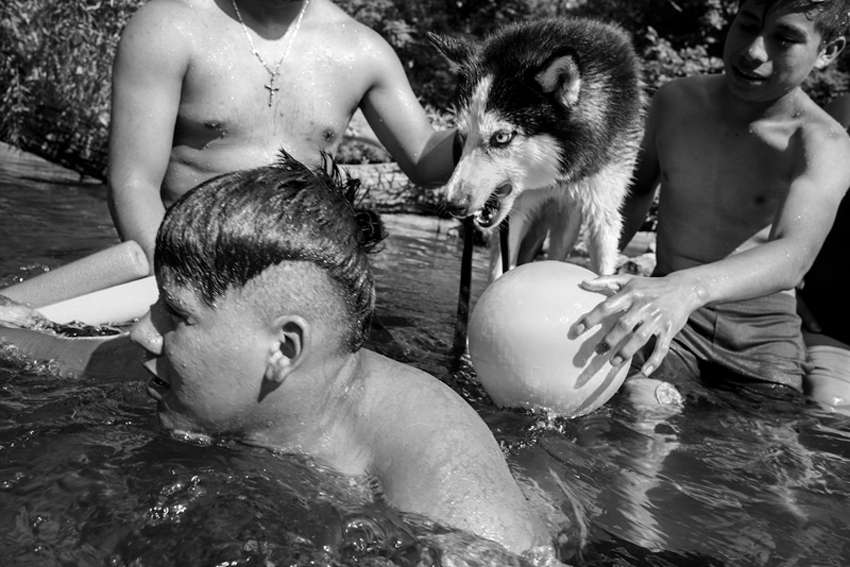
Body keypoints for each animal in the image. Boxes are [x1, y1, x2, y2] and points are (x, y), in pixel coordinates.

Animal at [430, 17, 645, 279]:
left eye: (501, 137)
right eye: (462, 136)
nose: (453, 204)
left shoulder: (603, 212)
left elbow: (604, 268)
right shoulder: (515, 215)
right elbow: (499, 274)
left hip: (568, 221)